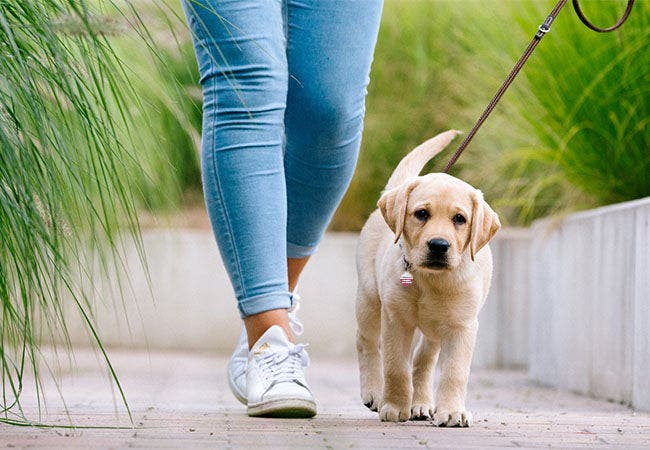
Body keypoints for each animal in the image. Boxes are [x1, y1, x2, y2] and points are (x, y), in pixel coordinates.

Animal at [354, 129, 502, 426]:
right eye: (422, 214)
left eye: (460, 219)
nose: (438, 245)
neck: (431, 280)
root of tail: (397, 187)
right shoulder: (395, 319)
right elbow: (396, 367)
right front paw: (394, 406)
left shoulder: (462, 327)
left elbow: (454, 372)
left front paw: (452, 411)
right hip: (369, 298)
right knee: (366, 342)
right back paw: (374, 393)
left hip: (434, 330)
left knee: (423, 360)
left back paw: (421, 404)